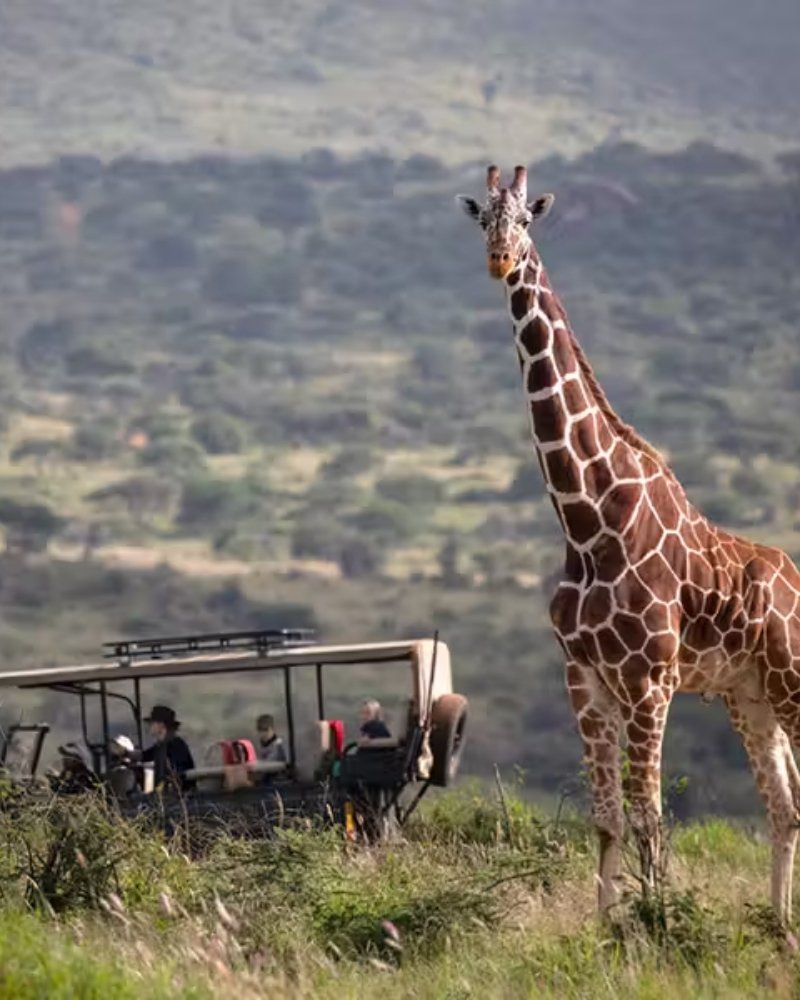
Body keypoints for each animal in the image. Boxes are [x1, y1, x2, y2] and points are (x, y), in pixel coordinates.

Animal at [457, 164, 800, 922]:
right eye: (482, 219)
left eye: (527, 219)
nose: (498, 260)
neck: (588, 520)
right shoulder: (584, 677)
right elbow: (609, 817)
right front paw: (608, 925)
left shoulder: (651, 681)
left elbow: (650, 815)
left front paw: (658, 922)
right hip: (751, 695)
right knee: (785, 806)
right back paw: (778, 926)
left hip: (791, 679)